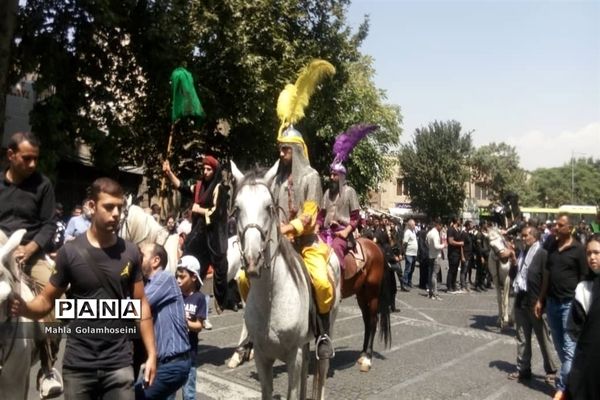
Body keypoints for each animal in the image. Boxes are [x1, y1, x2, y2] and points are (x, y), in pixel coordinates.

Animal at [232, 166, 340, 400]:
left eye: (269, 207)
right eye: (237, 208)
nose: (253, 260)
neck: (271, 298)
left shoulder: (294, 355)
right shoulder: (262, 356)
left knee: (322, 370)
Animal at [340, 238, 392, 372]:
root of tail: (375, 245)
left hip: (373, 295)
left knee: (373, 322)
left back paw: (368, 358)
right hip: (361, 296)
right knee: (367, 322)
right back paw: (363, 353)